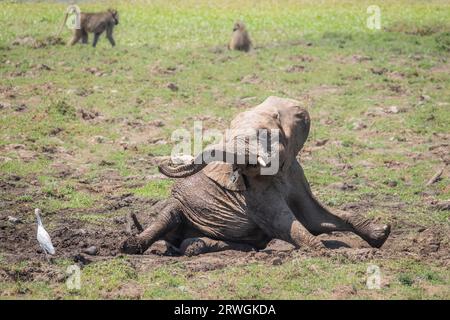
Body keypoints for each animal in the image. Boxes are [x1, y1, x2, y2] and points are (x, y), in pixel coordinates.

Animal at [120, 96, 390, 256]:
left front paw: (382, 233)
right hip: (177, 206)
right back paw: (132, 246)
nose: (161, 163)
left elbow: (316, 217)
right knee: (167, 216)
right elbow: (287, 224)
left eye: (265, 136)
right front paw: (328, 253)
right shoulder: (256, 196)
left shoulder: (295, 172)